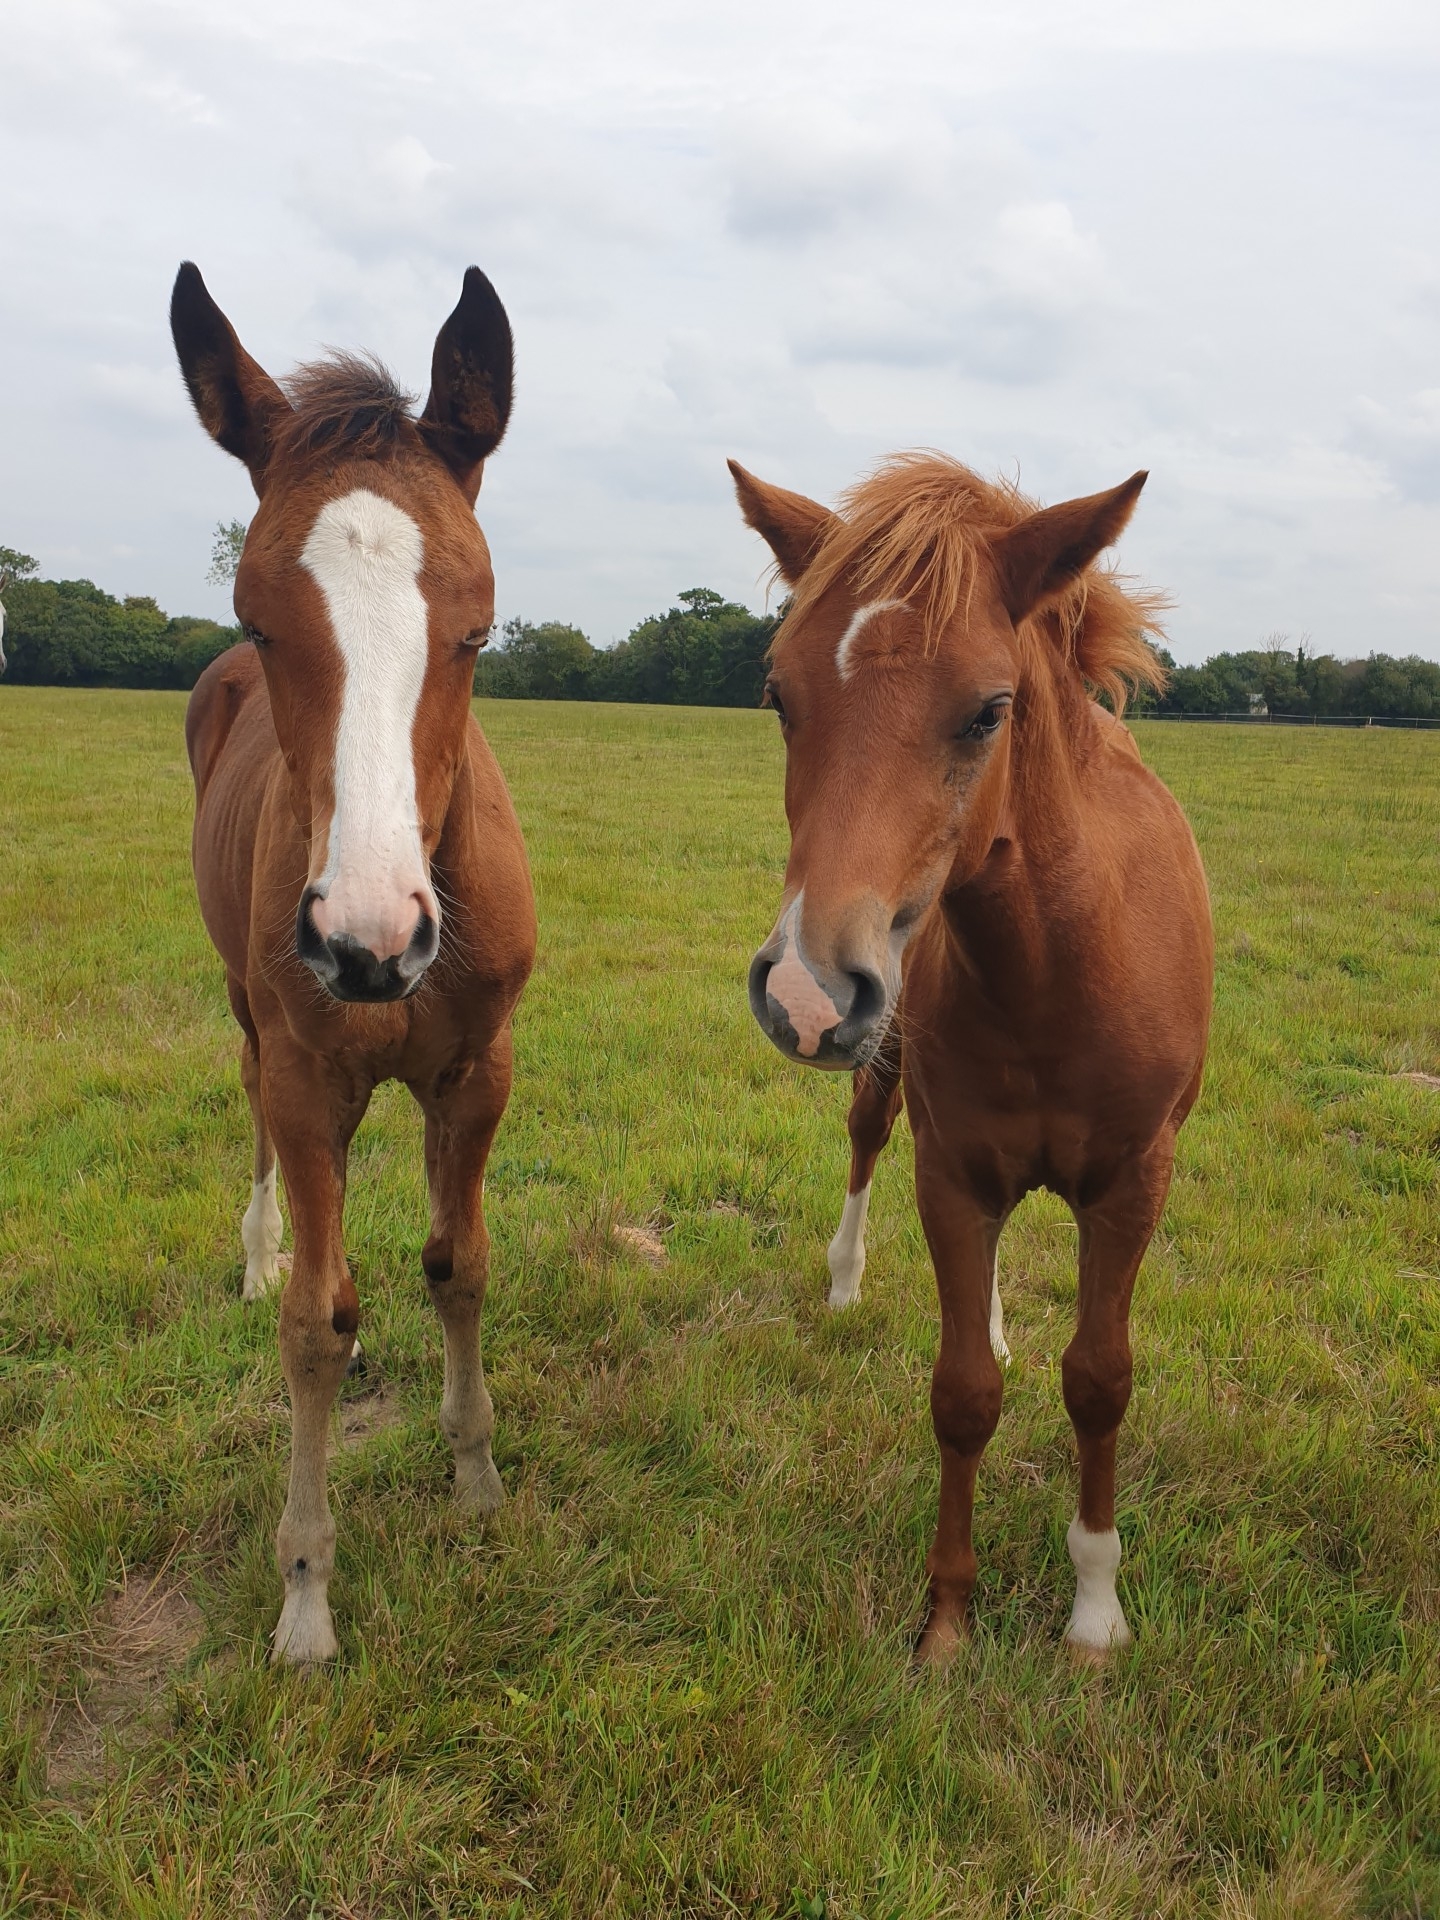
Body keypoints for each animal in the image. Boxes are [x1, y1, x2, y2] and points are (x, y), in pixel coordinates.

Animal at [174, 263, 537, 1658]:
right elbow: (318, 1326)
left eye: (478, 630)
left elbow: (458, 1264)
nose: (369, 943)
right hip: (251, 1017)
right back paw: (258, 1246)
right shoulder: (308, 1076)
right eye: (259, 619)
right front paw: (306, 1595)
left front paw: (478, 1478)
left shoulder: (478, 1073)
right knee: (253, 1120)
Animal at [733, 453, 1221, 1666]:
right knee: (865, 1141)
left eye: (989, 711)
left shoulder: (1133, 1184)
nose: (805, 990)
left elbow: (1099, 1380)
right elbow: (963, 1392)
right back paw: (847, 1279)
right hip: (887, 1072)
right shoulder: (951, 1175)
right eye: (780, 697)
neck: (1055, 969)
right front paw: (947, 1619)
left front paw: (1095, 1607)